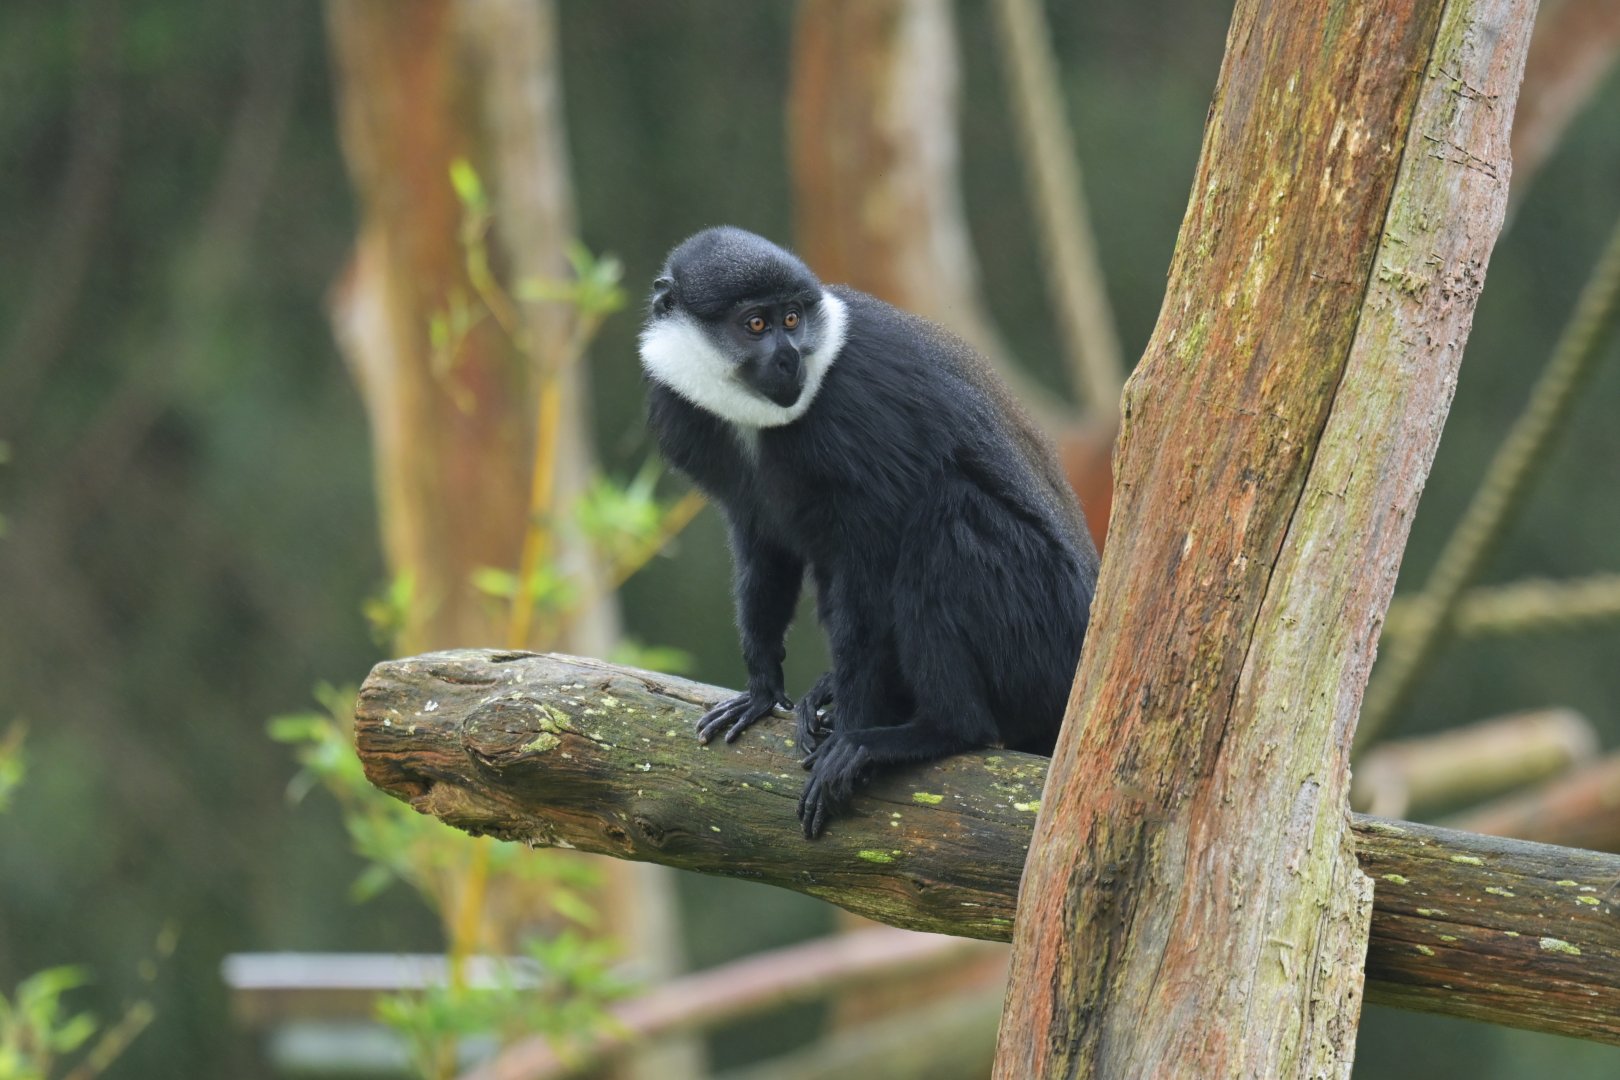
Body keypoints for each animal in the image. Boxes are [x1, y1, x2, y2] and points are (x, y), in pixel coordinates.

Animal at [639, 226, 1099, 838]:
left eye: (792, 319)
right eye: (756, 324)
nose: (789, 357)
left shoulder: (860, 422)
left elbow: (870, 583)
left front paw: (852, 735)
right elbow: (765, 554)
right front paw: (761, 690)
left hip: (1043, 637)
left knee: (946, 518)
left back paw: (938, 729)